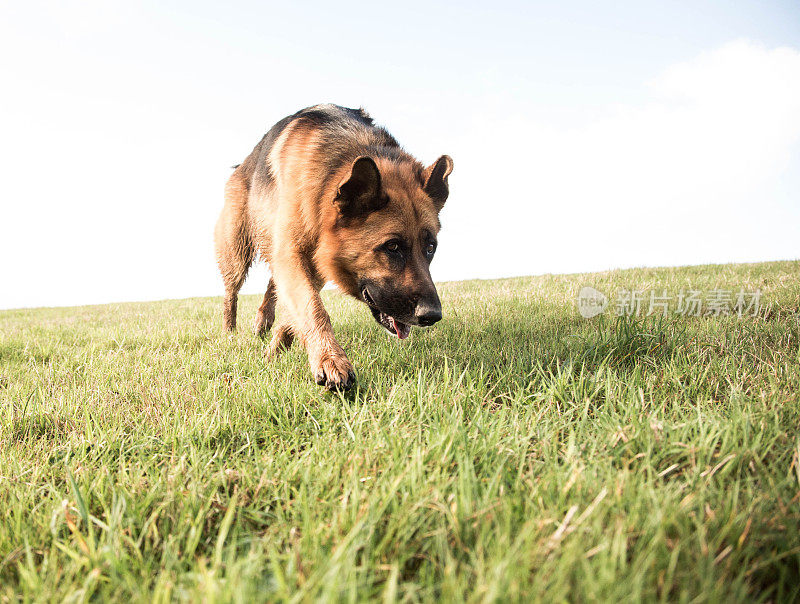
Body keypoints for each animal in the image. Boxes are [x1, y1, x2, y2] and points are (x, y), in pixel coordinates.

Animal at [214, 104, 450, 390]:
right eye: (392, 246)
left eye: (430, 247)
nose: (432, 315)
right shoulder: (292, 254)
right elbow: (312, 308)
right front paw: (330, 360)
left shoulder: (313, 263)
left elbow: (295, 314)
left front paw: (275, 351)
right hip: (236, 251)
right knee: (231, 294)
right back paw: (229, 333)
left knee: (273, 283)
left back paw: (263, 321)